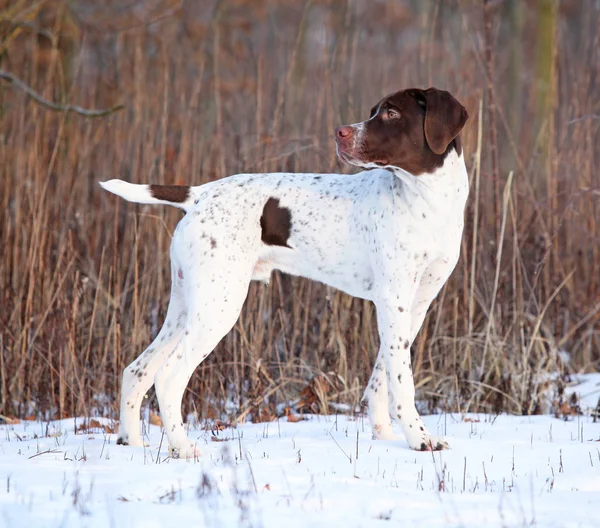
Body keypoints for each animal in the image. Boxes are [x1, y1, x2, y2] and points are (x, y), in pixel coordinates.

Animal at [101, 86, 468, 458]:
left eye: (392, 113)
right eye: (377, 112)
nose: (341, 132)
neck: (427, 203)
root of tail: (200, 194)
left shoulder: (414, 306)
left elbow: (383, 376)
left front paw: (384, 434)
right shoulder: (394, 302)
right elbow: (402, 382)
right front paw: (420, 439)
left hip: (187, 306)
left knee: (137, 370)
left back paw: (132, 444)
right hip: (218, 307)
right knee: (168, 377)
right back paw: (183, 447)